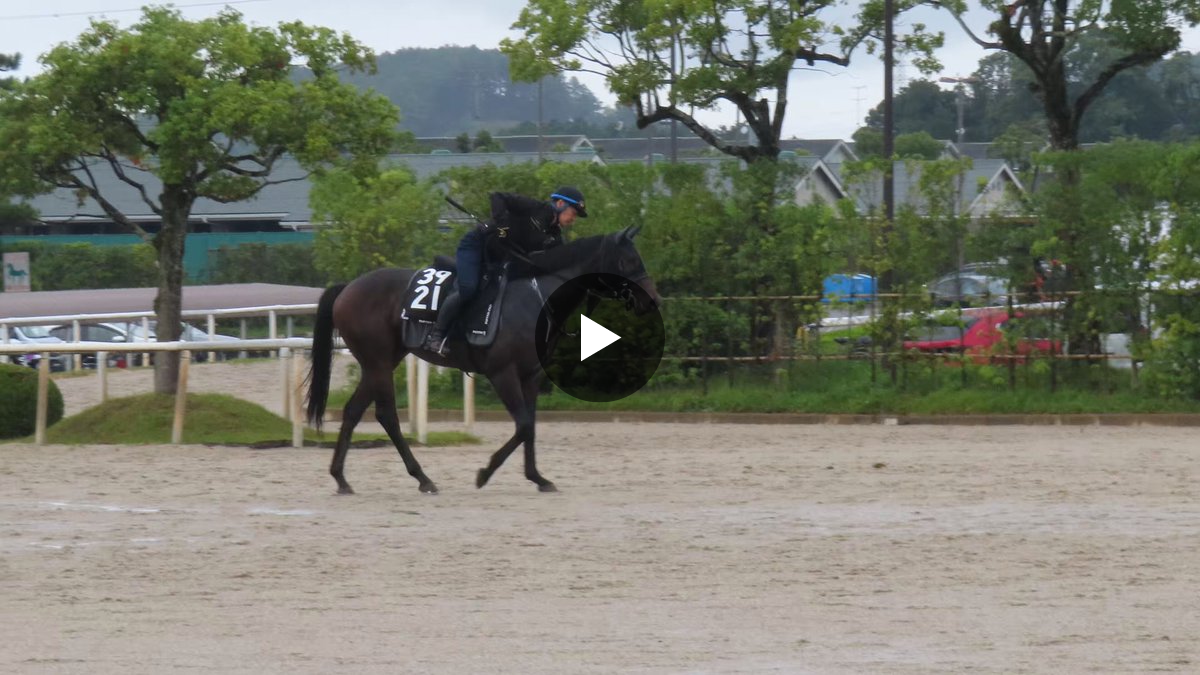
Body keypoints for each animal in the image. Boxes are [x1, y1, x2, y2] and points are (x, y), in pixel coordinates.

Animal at [305, 226, 661, 495]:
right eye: (628, 259)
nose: (651, 300)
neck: (535, 298)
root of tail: (347, 288)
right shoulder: (502, 373)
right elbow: (523, 425)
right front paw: (486, 472)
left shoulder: (531, 376)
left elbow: (530, 426)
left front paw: (537, 477)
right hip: (378, 362)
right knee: (386, 415)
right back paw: (423, 478)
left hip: (380, 362)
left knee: (353, 411)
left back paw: (341, 478)